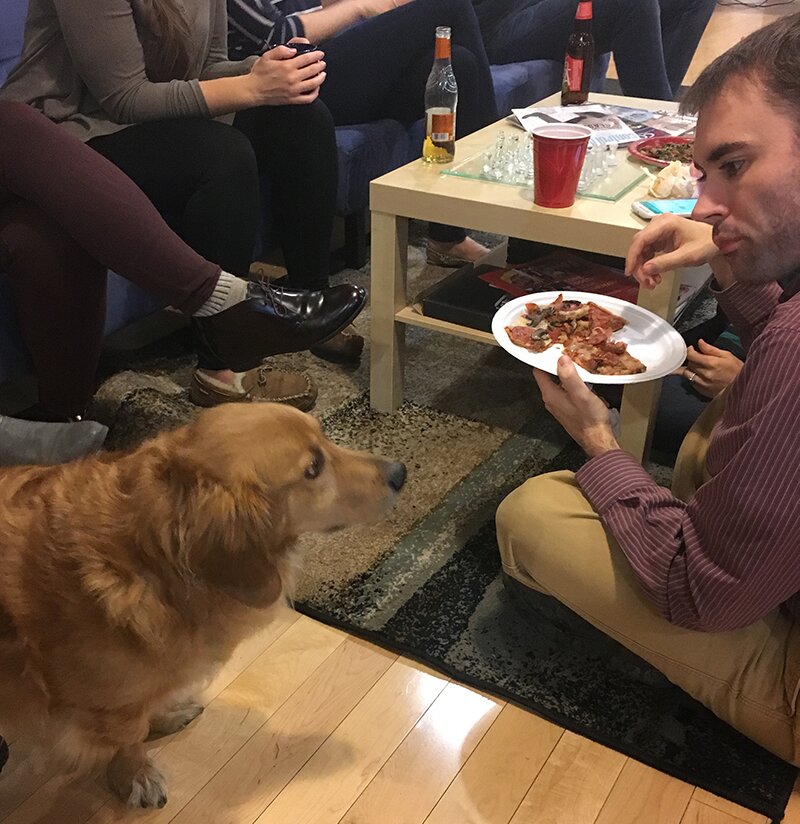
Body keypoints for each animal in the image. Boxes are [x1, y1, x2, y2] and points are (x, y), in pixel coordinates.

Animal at [0, 402, 404, 808]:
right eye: (313, 469)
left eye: (324, 436)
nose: (401, 472)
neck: (153, 561)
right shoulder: (106, 704)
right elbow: (130, 738)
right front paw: (137, 775)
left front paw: (165, 715)